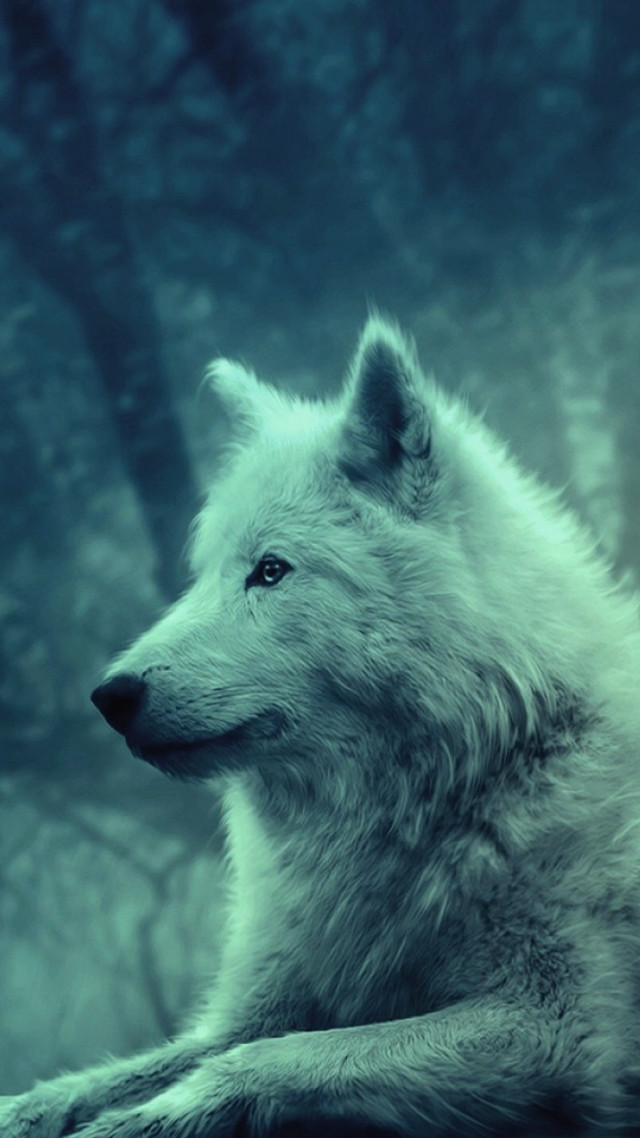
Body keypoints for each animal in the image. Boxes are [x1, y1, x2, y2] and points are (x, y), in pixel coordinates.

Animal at [3, 317, 640, 1137]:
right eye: (203, 575)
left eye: (271, 571)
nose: (109, 695)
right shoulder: (260, 1006)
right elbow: (103, 1078)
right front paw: (38, 1109)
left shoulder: (558, 1029)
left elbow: (266, 1062)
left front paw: (138, 1122)